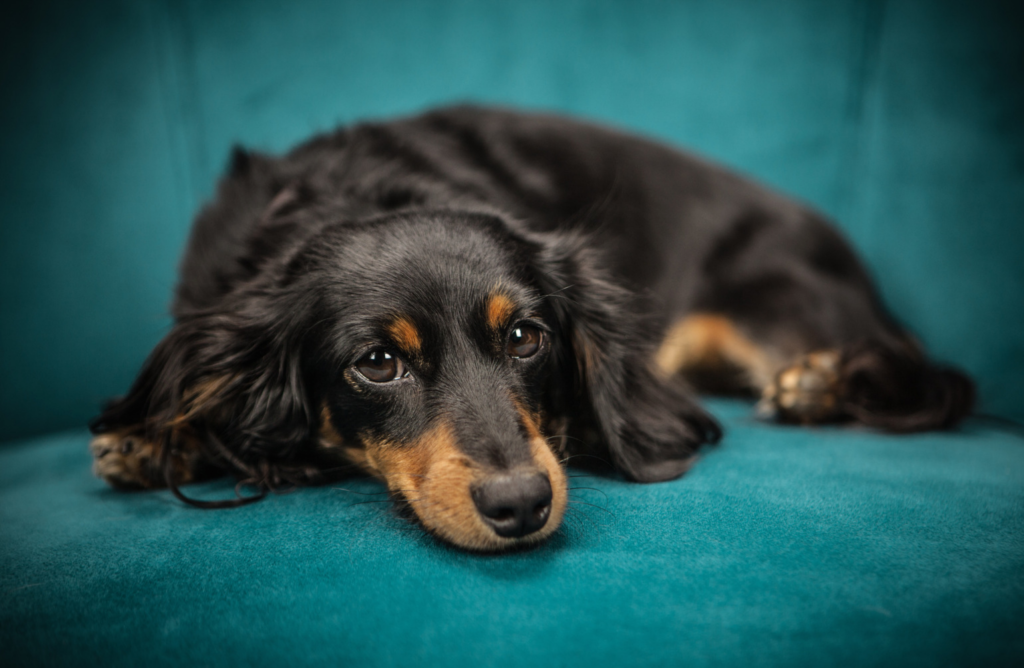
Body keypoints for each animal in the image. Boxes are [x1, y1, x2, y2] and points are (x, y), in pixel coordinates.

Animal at [90, 105, 974, 549]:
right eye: (377, 362)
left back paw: (821, 383)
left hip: (772, 302)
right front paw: (153, 437)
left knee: (931, 380)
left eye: (525, 337)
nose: (521, 505)